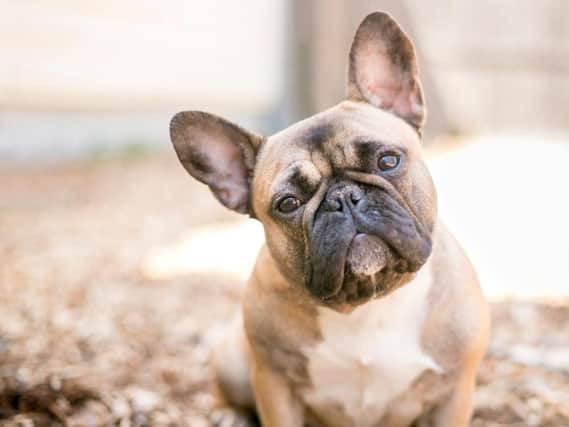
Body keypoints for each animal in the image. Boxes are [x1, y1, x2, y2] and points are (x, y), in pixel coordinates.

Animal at [169, 11, 488, 426]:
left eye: (388, 160)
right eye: (288, 203)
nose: (343, 198)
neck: (368, 302)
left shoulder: (454, 390)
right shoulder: (274, 385)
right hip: (235, 361)